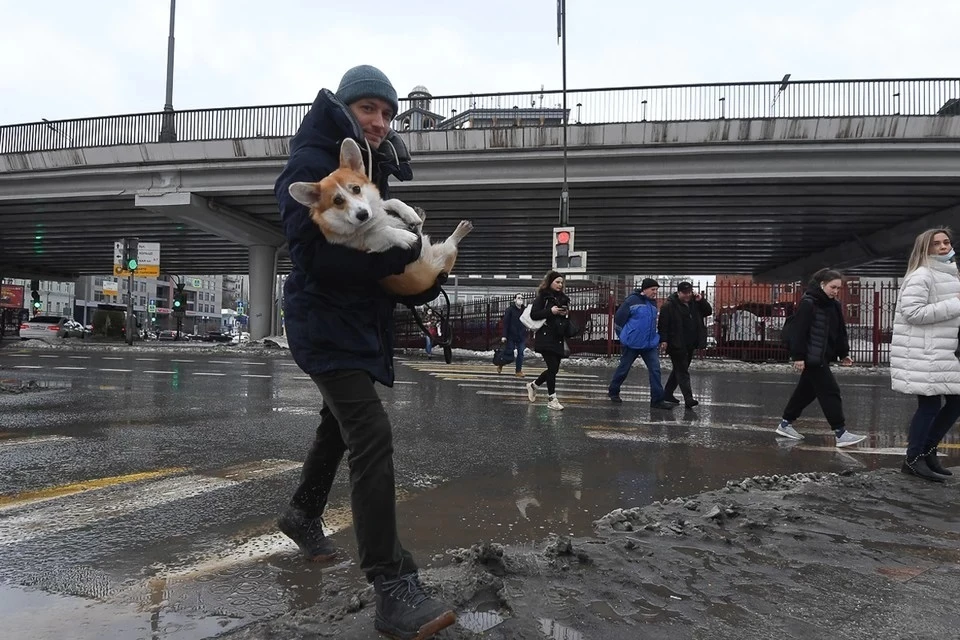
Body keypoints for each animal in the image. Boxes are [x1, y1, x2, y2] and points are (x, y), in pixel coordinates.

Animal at [290, 138, 474, 298]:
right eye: (337, 201)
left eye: (356, 188)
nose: (363, 214)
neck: (372, 220)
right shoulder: (367, 246)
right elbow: (382, 232)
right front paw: (404, 236)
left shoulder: (379, 207)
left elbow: (391, 201)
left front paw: (409, 212)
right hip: (447, 252)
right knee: (451, 242)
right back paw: (461, 229)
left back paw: (421, 217)